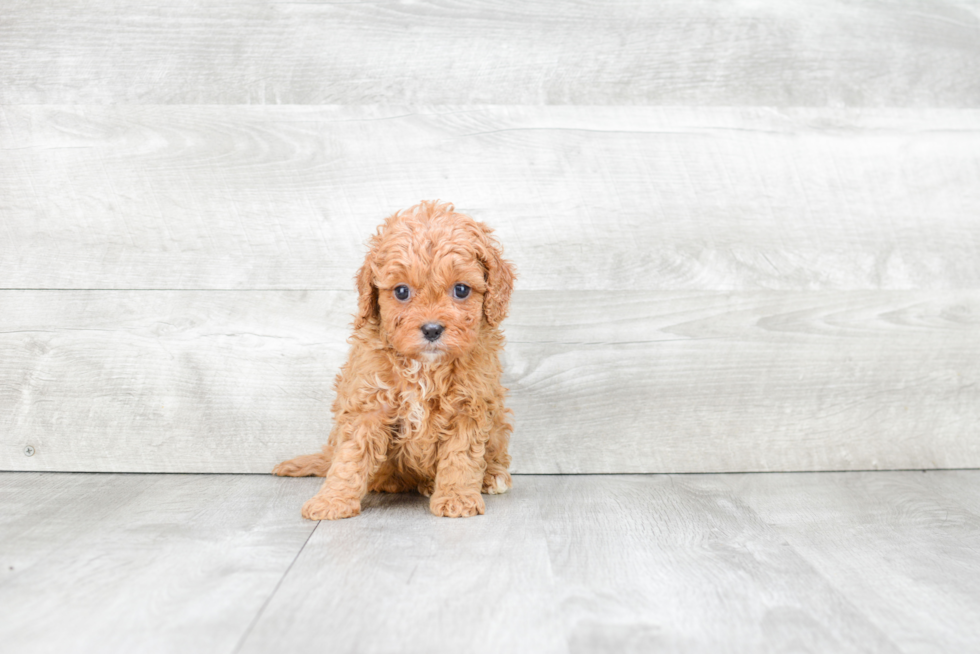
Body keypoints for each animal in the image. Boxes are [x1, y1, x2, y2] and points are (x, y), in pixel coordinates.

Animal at [274, 202, 516, 520]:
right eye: (402, 291)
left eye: (461, 290)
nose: (432, 329)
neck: (424, 367)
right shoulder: (368, 405)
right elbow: (350, 459)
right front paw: (333, 500)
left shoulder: (469, 406)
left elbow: (461, 457)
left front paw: (457, 497)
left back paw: (490, 477)